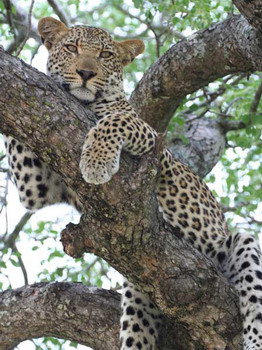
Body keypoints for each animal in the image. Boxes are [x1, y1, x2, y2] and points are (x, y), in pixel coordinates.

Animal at [3, 17, 262, 350]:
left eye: (104, 55)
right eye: (72, 48)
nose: (86, 73)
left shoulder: (157, 146)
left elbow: (112, 122)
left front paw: (96, 162)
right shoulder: (36, 186)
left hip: (239, 244)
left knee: (253, 299)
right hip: (138, 293)